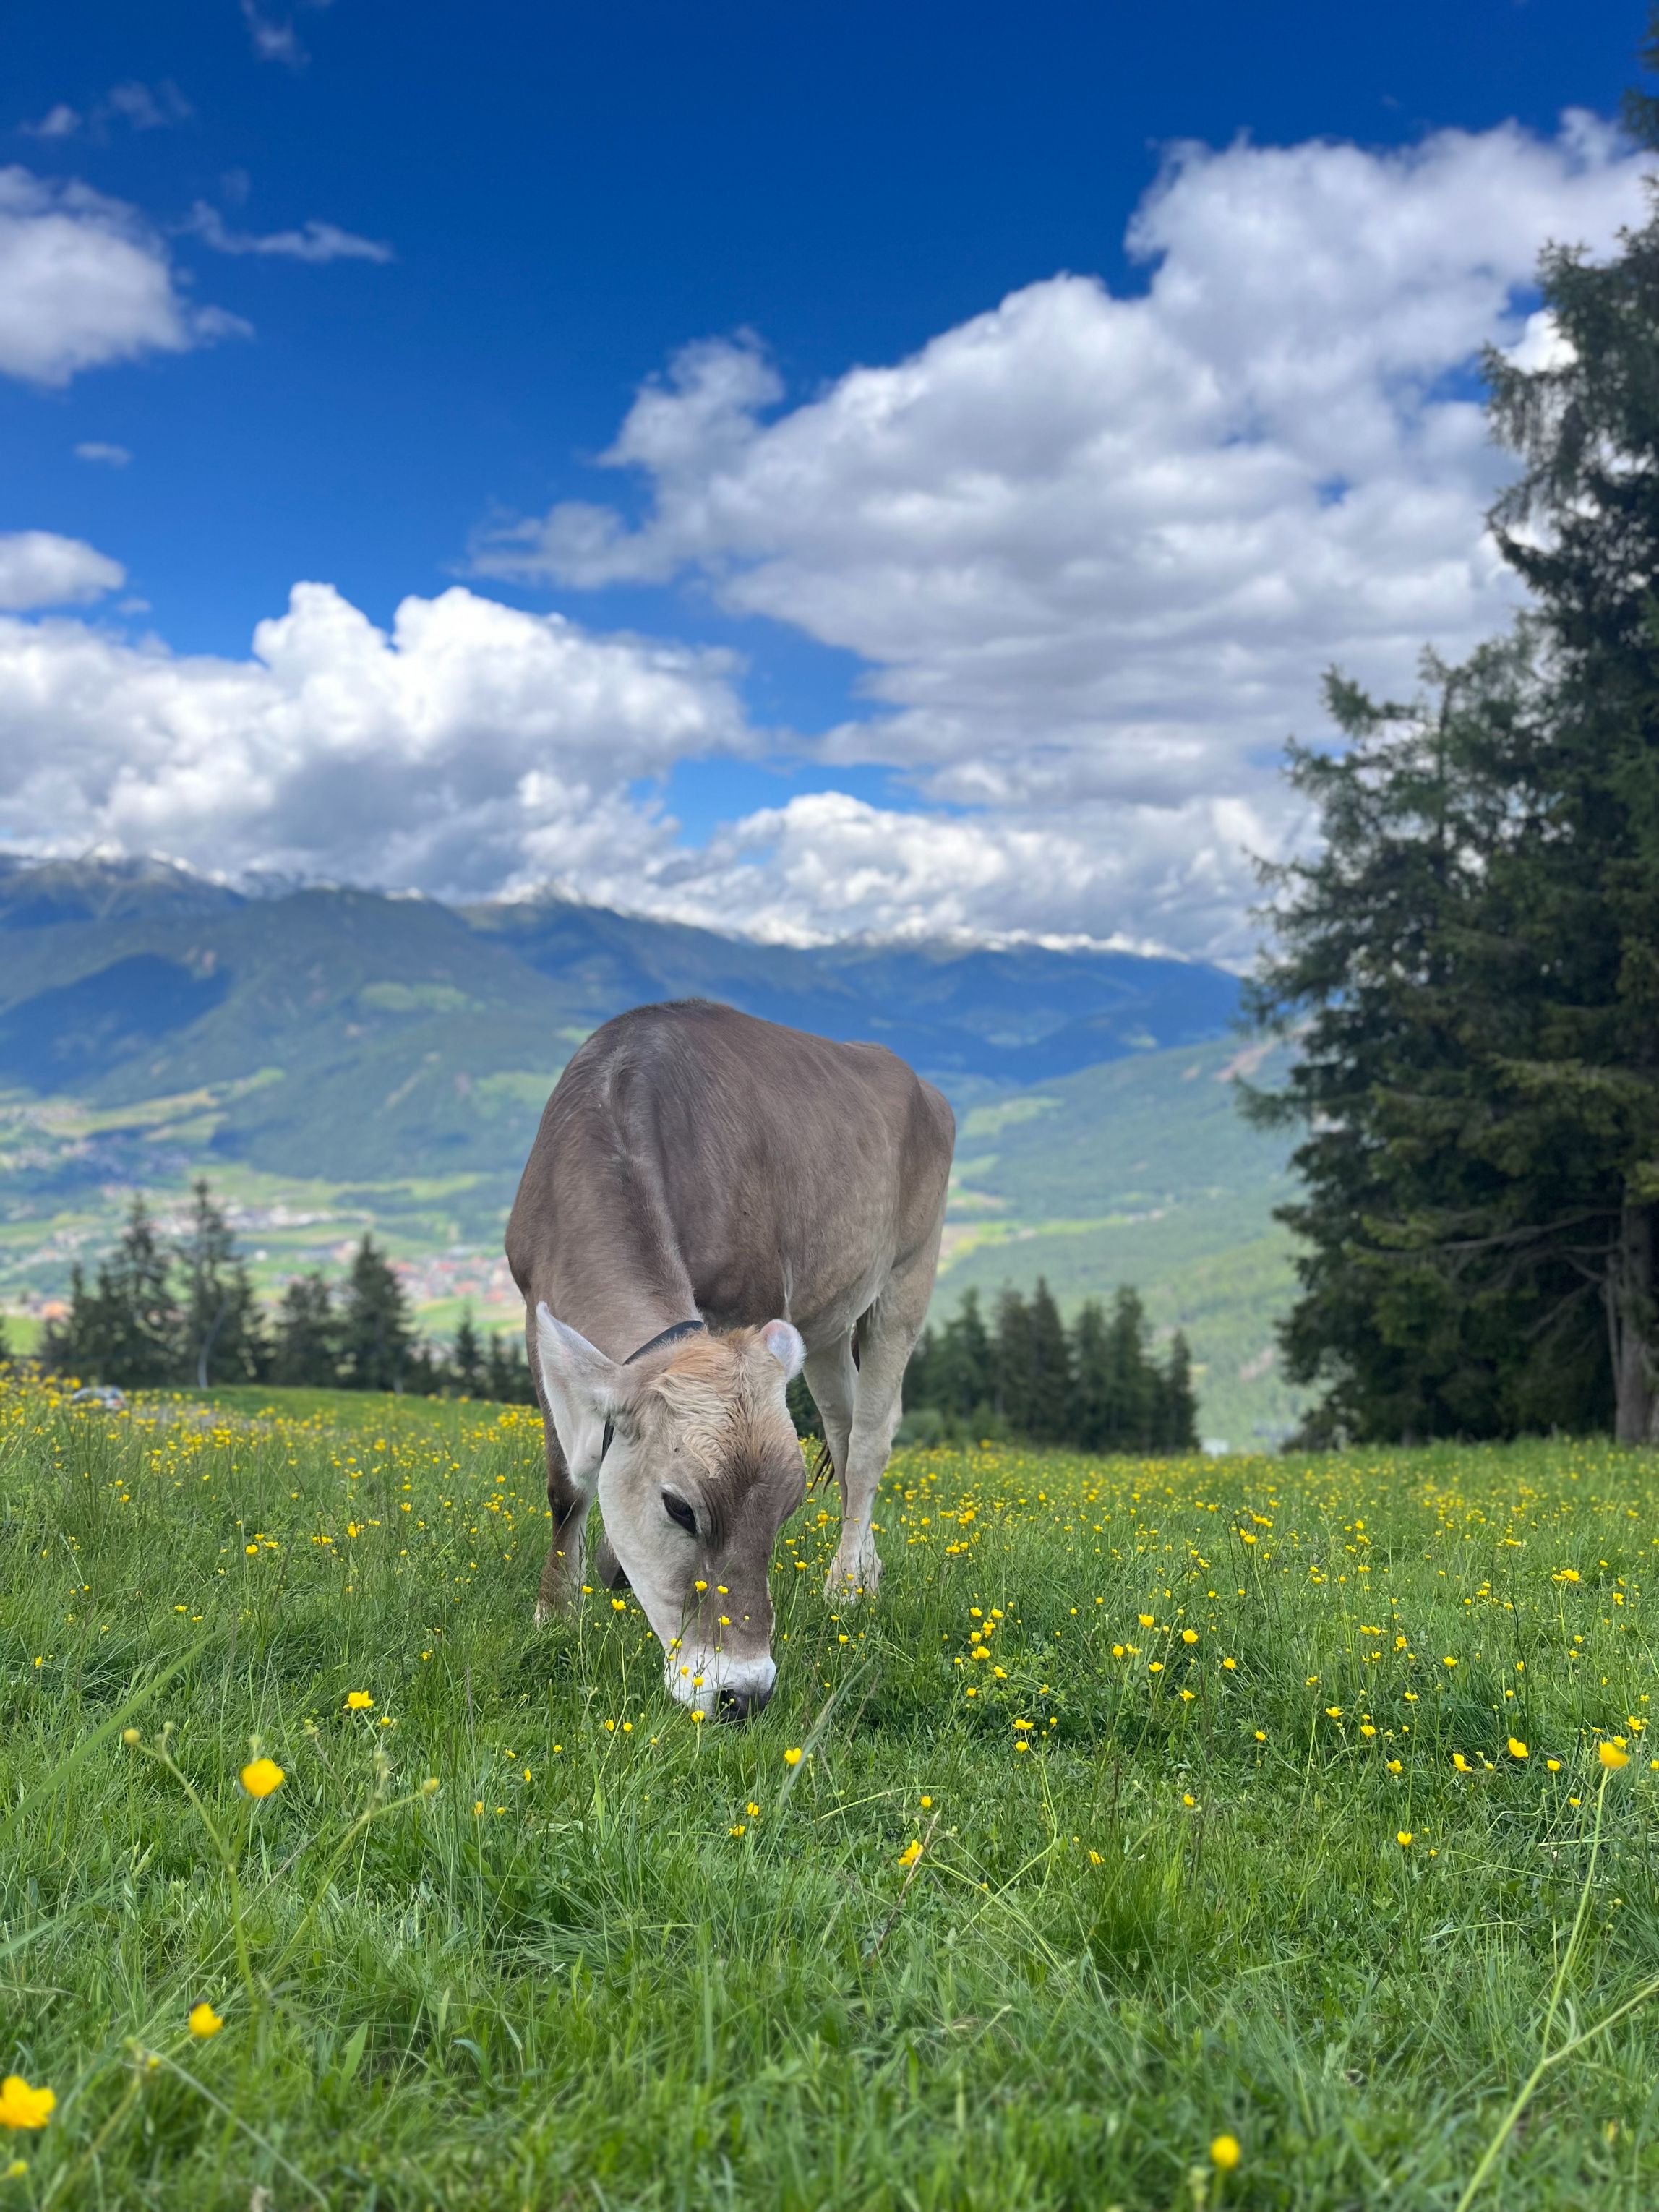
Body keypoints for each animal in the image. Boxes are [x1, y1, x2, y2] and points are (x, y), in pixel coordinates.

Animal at [505, 999, 955, 1717]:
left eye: (787, 1507)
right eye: (679, 1508)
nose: (743, 1694)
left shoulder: (753, 1299)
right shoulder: (532, 1308)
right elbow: (566, 1483)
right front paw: (557, 1614)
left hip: (909, 1275)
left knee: (870, 1441)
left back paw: (844, 1585)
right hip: (826, 1323)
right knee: (841, 1426)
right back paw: (868, 1571)